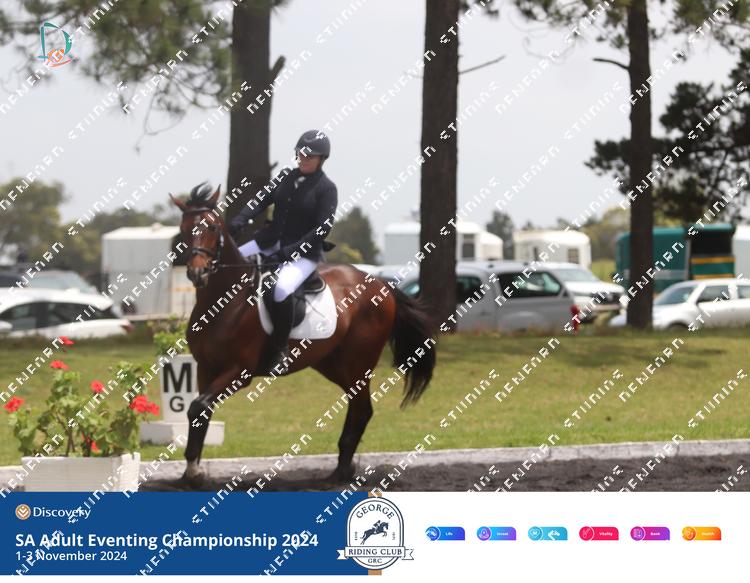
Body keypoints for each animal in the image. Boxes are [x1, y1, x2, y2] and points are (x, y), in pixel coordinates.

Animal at [170, 183, 437, 485]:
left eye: (213, 227)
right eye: (183, 228)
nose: (198, 272)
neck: (226, 301)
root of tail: (381, 283)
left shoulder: (239, 371)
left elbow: (197, 407)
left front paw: (193, 470)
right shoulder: (205, 368)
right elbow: (200, 411)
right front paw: (192, 472)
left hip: (358, 363)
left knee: (362, 409)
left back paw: (341, 472)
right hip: (333, 364)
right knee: (358, 406)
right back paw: (342, 468)